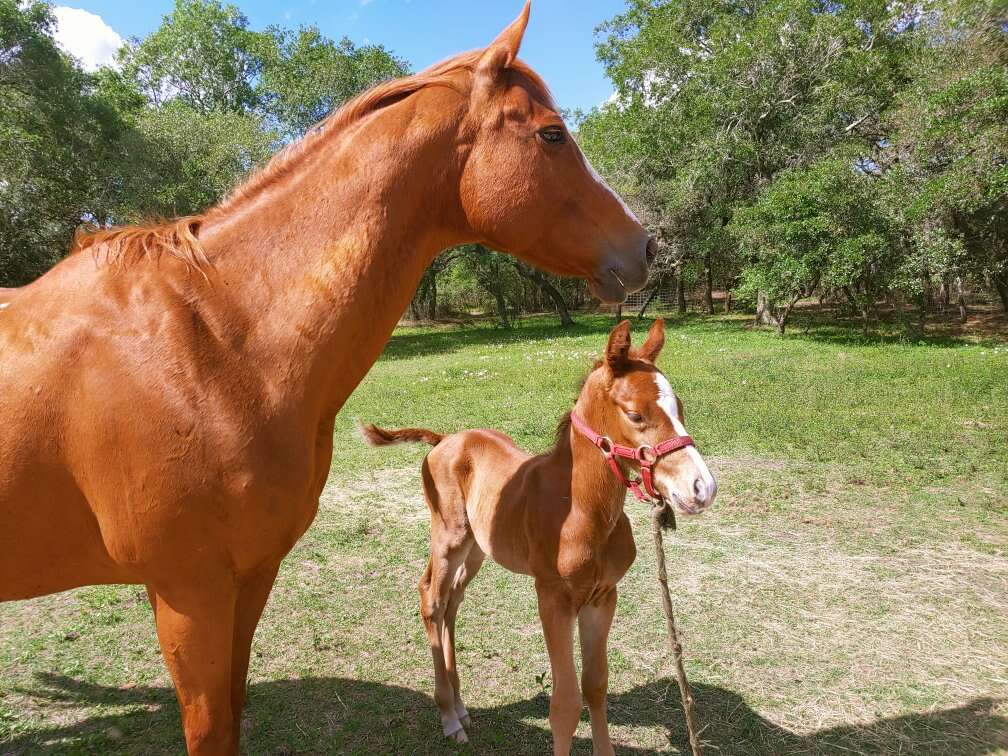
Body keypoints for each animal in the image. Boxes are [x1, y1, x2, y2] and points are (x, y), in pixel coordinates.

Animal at [360, 319, 717, 755]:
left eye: (679, 407)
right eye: (635, 414)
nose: (702, 488)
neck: (580, 508)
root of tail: (444, 440)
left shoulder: (602, 596)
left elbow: (595, 686)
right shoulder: (553, 598)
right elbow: (565, 704)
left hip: (477, 548)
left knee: (452, 602)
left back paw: (460, 707)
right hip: (449, 537)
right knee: (431, 597)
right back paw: (448, 717)